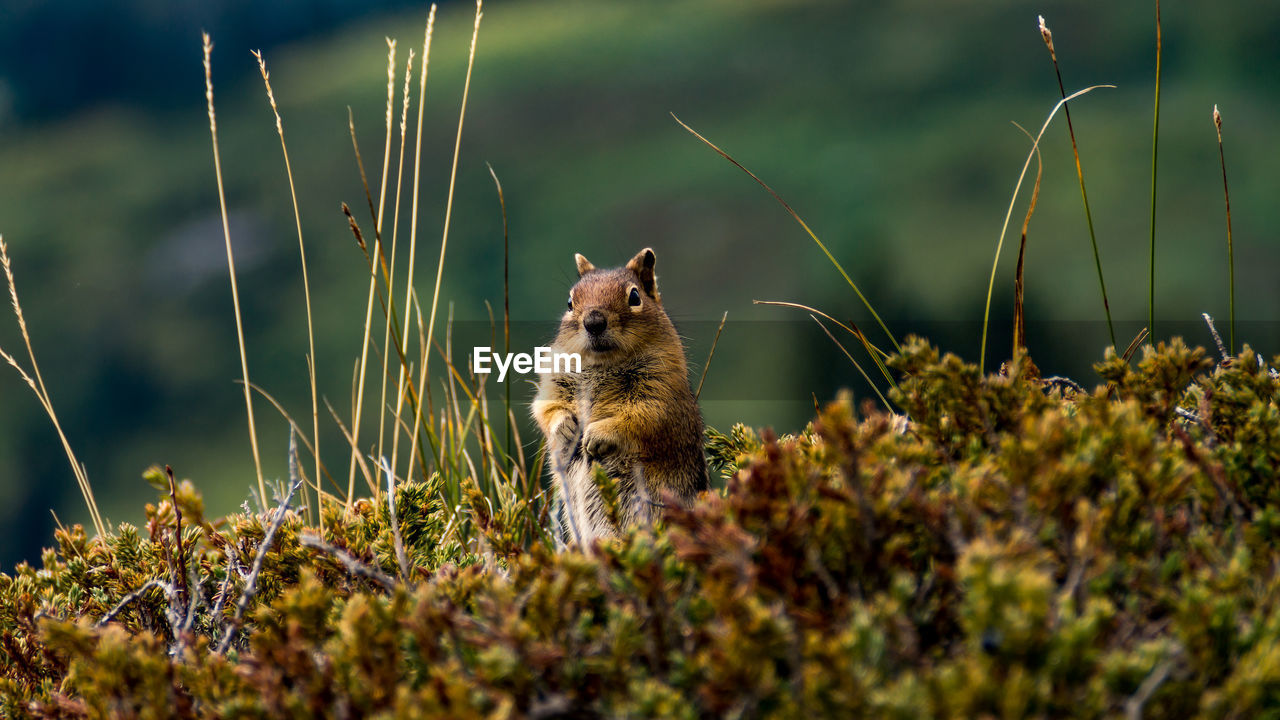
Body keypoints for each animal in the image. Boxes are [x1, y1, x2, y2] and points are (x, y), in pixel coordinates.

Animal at [529, 245, 711, 543]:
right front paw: (565, 427)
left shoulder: (661, 391)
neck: (601, 364)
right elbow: (545, 408)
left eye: (634, 296)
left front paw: (595, 436)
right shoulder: (554, 381)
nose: (593, 321)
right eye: (569, 302)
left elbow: (641, 419)